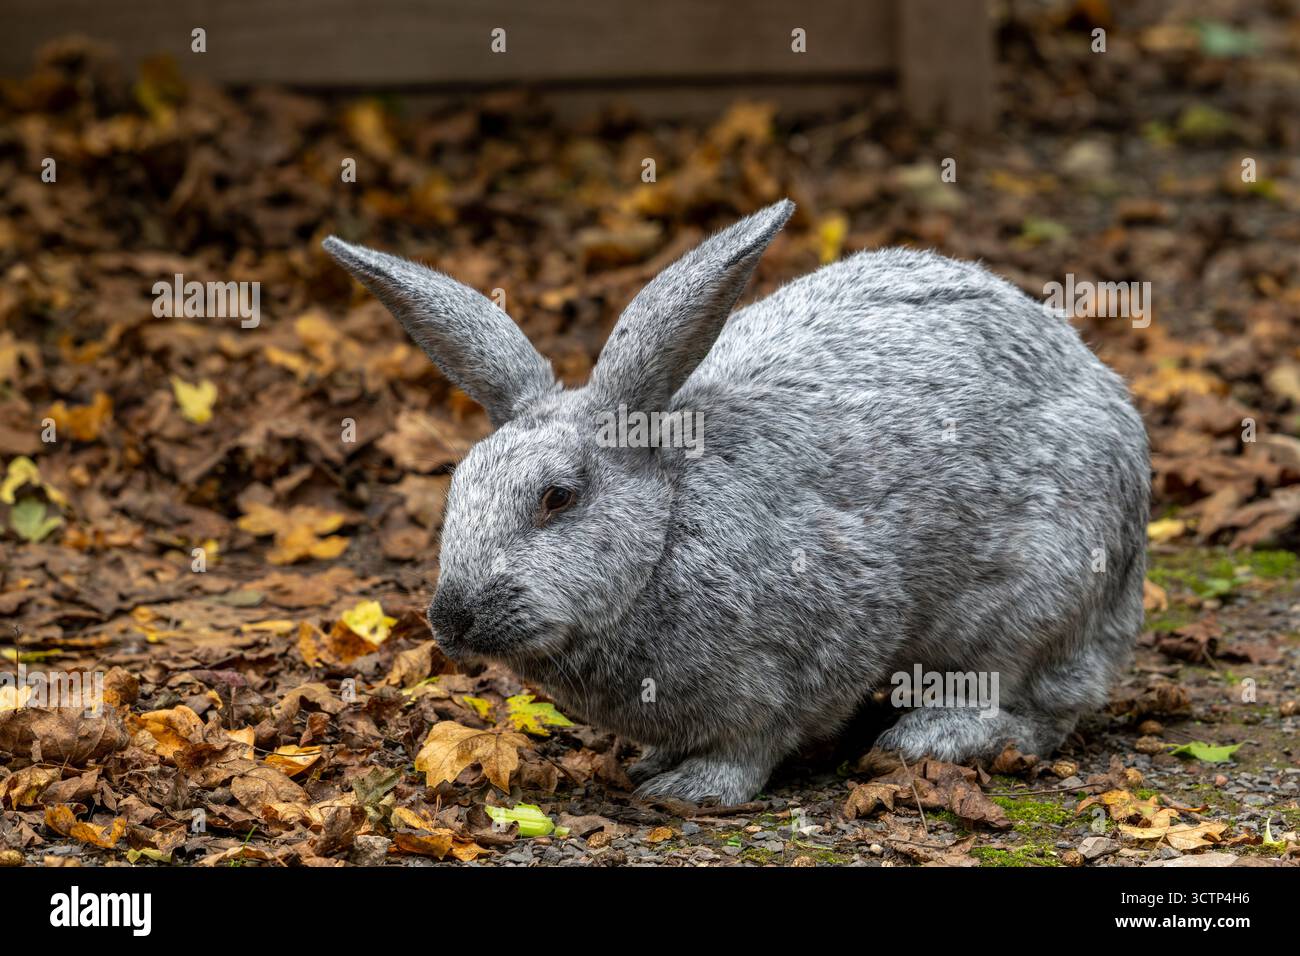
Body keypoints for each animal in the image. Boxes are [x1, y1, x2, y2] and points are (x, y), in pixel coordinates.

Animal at [323, 199, 1150, 805]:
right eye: (458, 486)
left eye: (558, 497)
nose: (451, 619)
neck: (665, 530)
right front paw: (650, 766)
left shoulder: (818, 647)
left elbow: (755, 743)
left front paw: (690, 789)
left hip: (1036, 595)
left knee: (1031, 702)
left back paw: (929, 739)